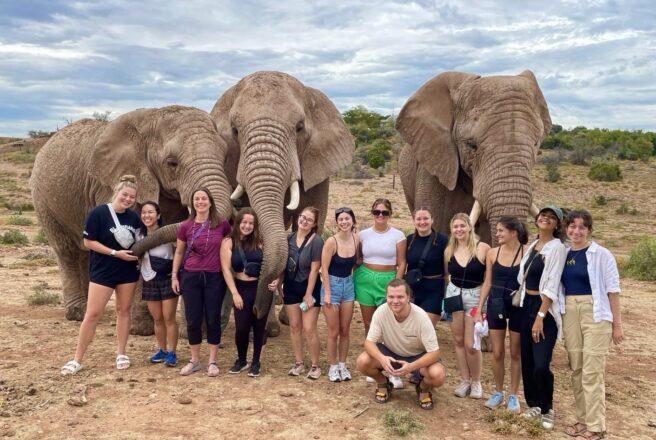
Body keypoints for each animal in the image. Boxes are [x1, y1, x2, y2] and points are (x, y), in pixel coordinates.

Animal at [32, 106, 236, 334]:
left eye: (225, 156)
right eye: (172, 163)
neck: (151, 119)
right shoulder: (109, 185)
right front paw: (142, 329)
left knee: (84, 252)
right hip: (44, 200)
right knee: (67, 251)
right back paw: (77, 313)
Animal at [209, 72, 354, 326]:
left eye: (299, 127)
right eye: (235, 131)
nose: (254, 309)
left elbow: (312, 218)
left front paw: (284, 319)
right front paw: (269, 327)